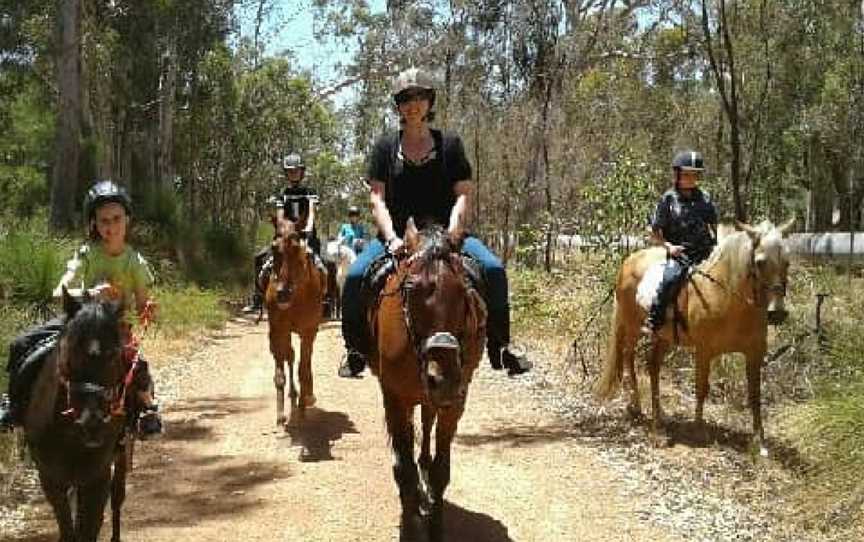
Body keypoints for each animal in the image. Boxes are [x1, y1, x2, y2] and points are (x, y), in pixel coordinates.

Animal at [23, 292, 132, 540]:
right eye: (69, 351)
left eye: (114, 354)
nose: (92, 423)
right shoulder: (50, 479)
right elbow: (68, 529)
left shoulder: (96, 478)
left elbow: (88, 528)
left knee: (117, 498)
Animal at [264, 219, 326, 428]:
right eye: (274, 247)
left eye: (297, 247)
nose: (282, 293)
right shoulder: (278, 329)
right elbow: (280, 372)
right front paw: (281, 413)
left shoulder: (309, 332)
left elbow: (303, 369)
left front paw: (303, 407)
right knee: (288, 356)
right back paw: (292, 396)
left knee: (300, 361)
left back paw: (305, 396)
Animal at [368, 221, 486, 542]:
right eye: (409, 288)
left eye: (464, 290)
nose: (442, 378)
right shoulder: (394, 398)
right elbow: (404, 470)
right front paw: (409, 526)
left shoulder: (456, 399)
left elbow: (440, 471)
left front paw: (435, 525)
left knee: (427, 421)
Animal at [596, 221, 792, 454]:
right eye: (760, 262)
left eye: (787, 262)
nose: (778, 313)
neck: (728, 297)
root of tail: (630, 260)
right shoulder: (704, 351)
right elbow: (701, 388)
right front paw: (699, 430)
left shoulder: (754, 354)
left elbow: (755, 396)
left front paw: (759, 441)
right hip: (632, 326)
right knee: (629, 358)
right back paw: (637, 408)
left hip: (664, 337)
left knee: (652, 366)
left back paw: (658, 418)